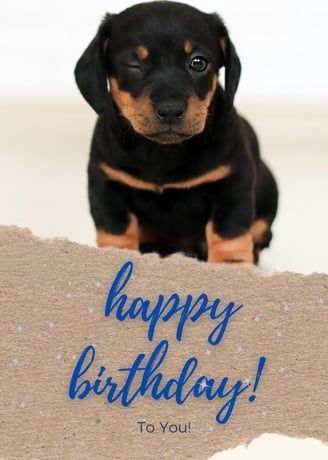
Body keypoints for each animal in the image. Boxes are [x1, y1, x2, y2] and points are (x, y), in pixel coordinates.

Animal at [75, 0, 278, 264]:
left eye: (198, 62)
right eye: (133, 64)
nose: (170, 110)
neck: (163, 152)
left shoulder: (232, 182)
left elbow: (229, 232)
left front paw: (230, 266)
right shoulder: (107, 184)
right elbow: (116, 230)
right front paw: (117, 257)